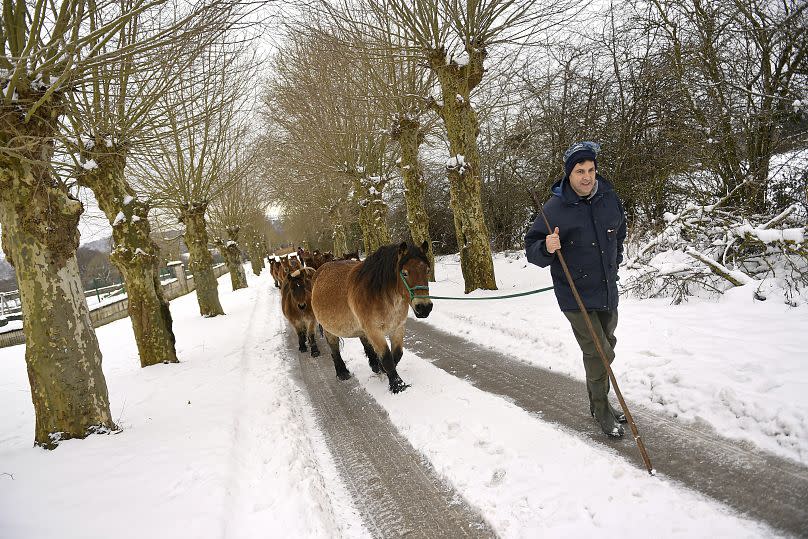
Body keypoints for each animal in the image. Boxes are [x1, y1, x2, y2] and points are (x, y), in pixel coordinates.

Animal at [310, 242, 436, 392]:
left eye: (427, 270)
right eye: (404, 273)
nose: (424, 307)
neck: (380, 296)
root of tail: (319, 271)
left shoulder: (398, 328)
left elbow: (397, 354)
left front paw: (384, 370)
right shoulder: (374, 331)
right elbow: (387, 358)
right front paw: (398, 386)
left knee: (365, 342)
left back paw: (374, 365)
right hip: (329, 329)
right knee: (334, 347)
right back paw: (342, 372)